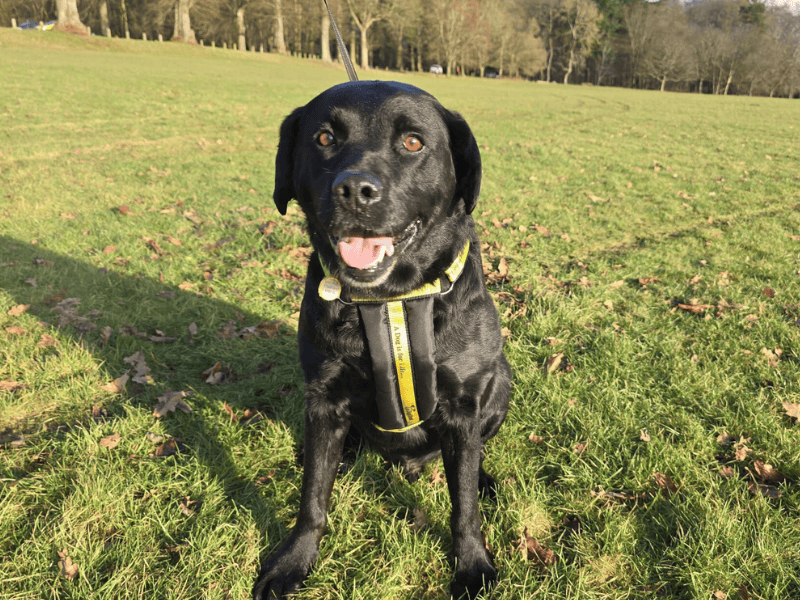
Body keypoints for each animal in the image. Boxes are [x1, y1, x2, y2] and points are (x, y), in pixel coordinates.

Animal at [253, 81, 510, 600]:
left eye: (412, 142)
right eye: (325, 137)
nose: (355, 190)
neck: (390, 300)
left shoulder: (463, 407)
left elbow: (464, 506)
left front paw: (472, 566)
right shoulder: (324, 397)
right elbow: (312, 499)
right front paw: (294, 561)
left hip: (502, 384)